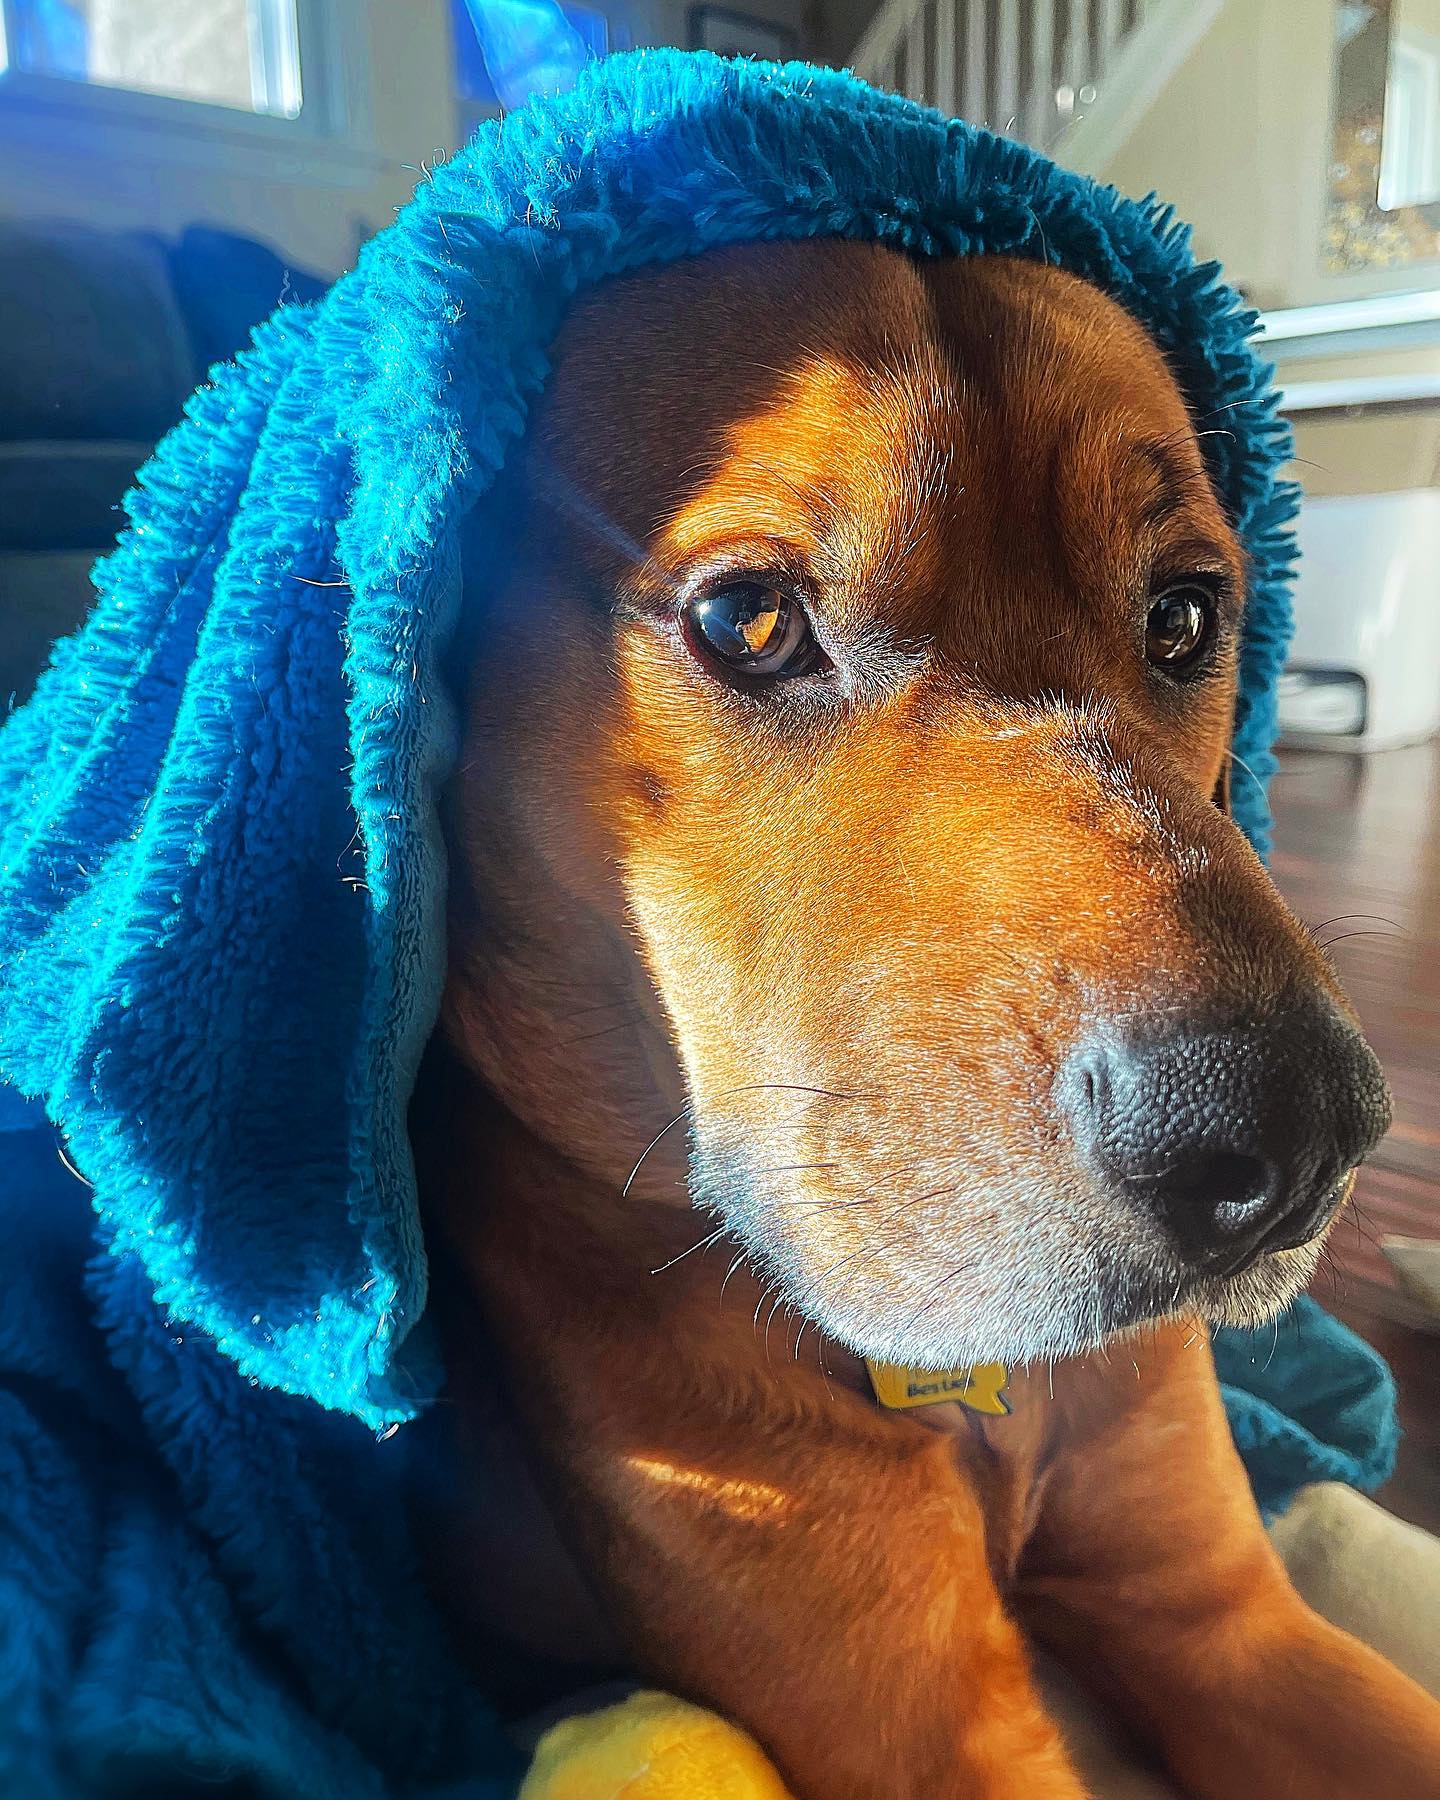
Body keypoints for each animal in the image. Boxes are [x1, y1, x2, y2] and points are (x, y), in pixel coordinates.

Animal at [408, 243, 1440, 1800]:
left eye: (1187, 616)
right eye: (748, 619)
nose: (1299, 1144)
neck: (975, 1389)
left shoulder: (1224, 1618)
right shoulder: (935, 1732)